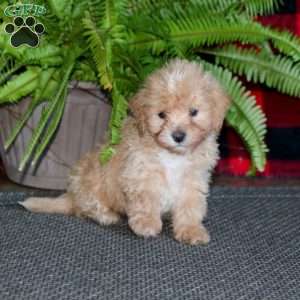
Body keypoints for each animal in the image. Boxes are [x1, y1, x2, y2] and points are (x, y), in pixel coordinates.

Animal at [21, 59, 231, 245]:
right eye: (162, 115)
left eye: (193, 112)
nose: (178, 136)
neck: (172, 155)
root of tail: (72, 196)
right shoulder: (141, 174)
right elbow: (145, 200)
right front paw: (147, 223)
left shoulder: (193, 179)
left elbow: (190, 207)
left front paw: (190, 230)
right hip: (89, 180)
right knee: (87, 207)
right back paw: (106, 215)